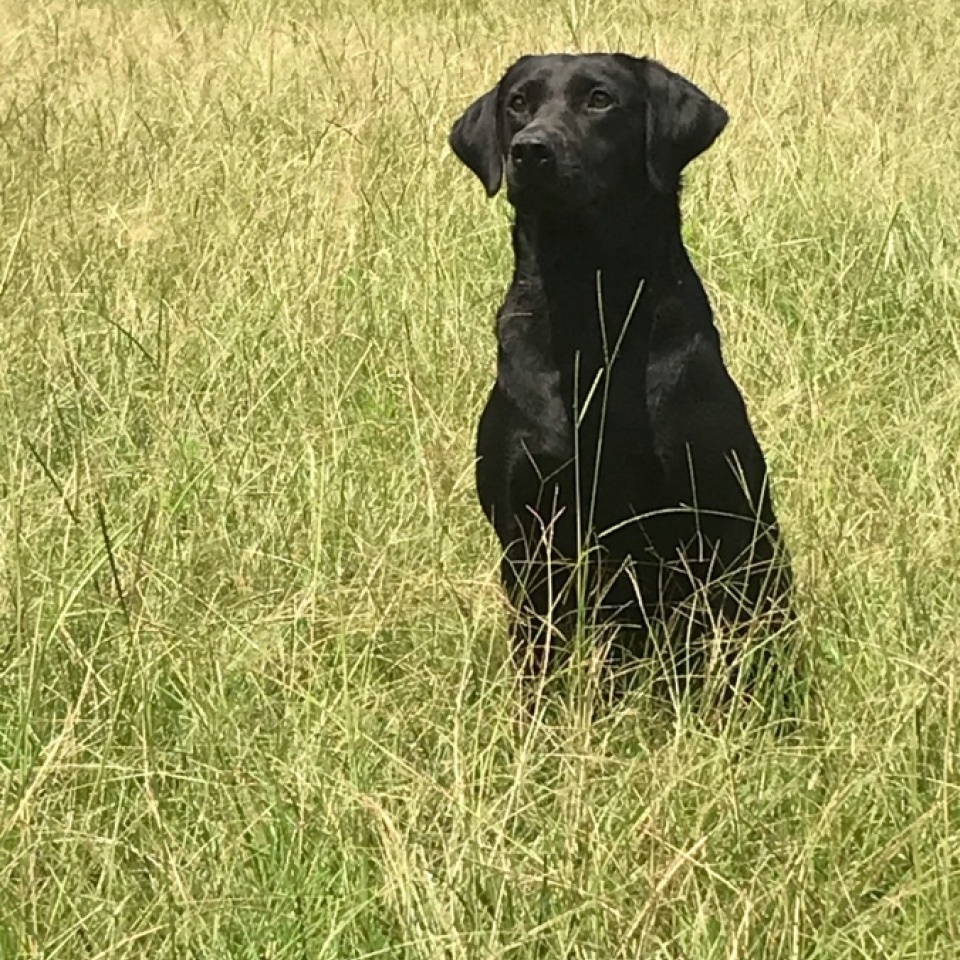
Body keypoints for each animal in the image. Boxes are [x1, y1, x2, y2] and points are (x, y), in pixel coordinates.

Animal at [454, 54, 792, 684]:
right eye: (518, 103)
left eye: (600, 99)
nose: (531, 150)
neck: (592, 310)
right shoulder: (528, 532)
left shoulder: (702, 525)